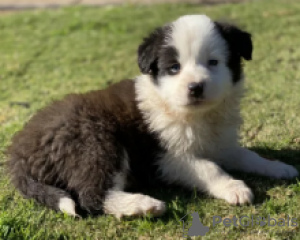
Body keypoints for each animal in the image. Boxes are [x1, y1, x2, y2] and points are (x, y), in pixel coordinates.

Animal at [6, 14, 298, 218]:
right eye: (174, 68)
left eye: (213, 62)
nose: (195, 87)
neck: (196, 116)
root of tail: (18, 150)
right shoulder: (163, 157)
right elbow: (208, 168)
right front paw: (234, 188)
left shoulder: (221, 144)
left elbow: (247, 155)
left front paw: (279, 167)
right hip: (95, 141)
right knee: (92, 195)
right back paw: (142, 205)